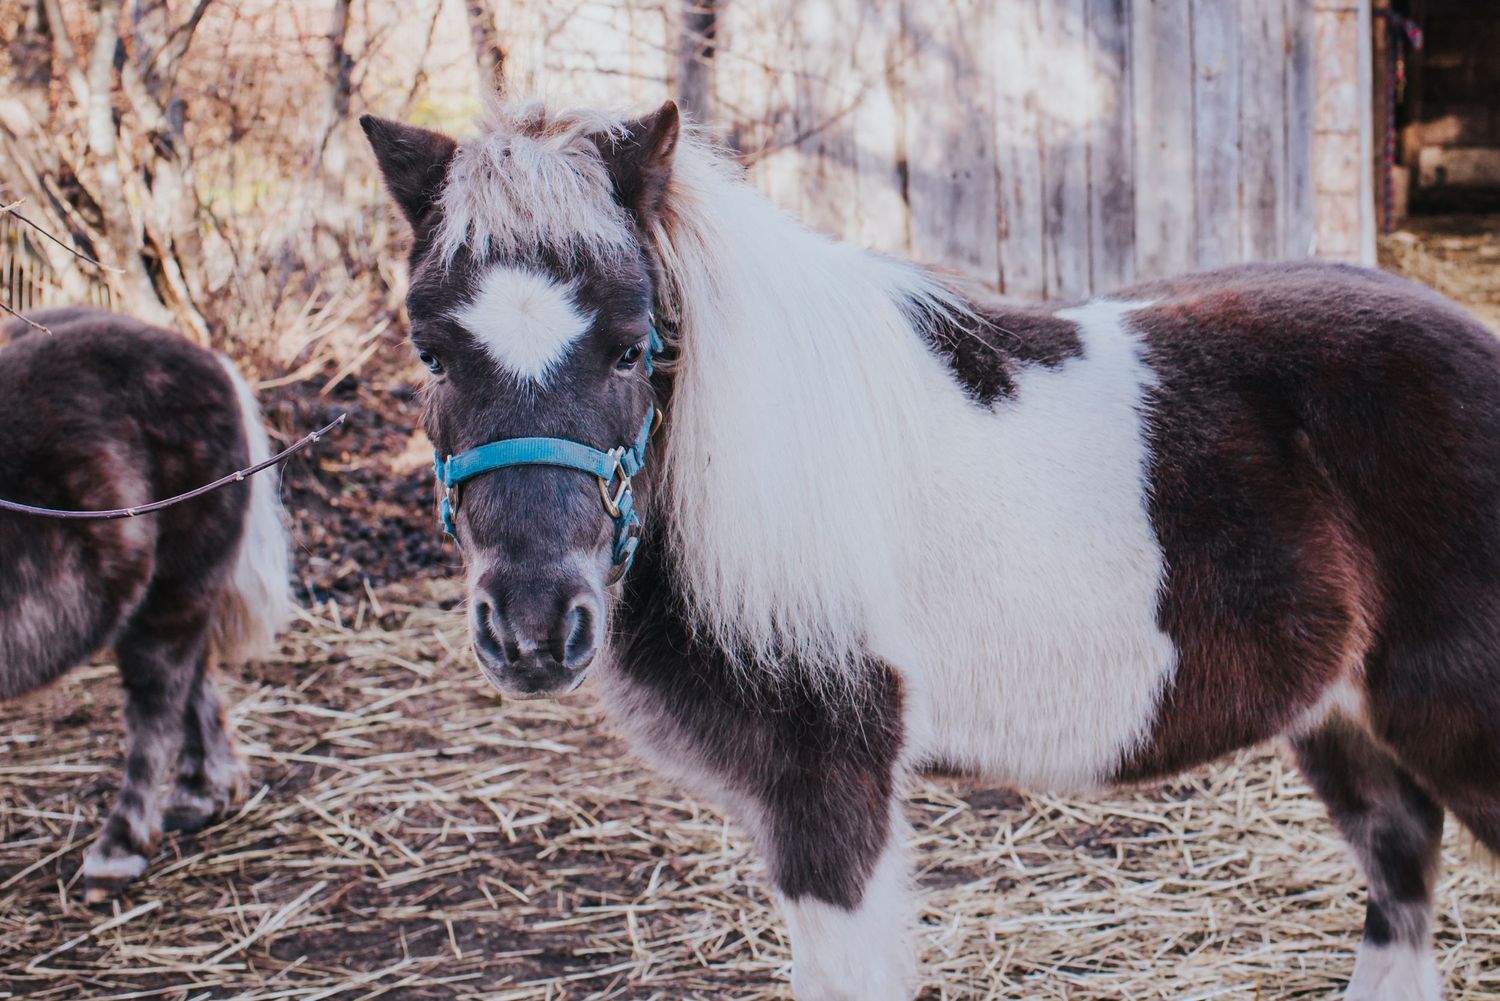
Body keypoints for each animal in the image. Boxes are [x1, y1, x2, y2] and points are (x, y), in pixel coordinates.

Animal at [0, 308, 293, 903]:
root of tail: (209, 360)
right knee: (191, 682)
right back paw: (202, 794)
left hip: (172, 594)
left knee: (158, 709)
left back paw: (119, 849)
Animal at [362, 99, 1500, 1001]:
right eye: (433, 351)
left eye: (632, 346)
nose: (532, 628)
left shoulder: (831, 799)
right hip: (1342, 717)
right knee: (1400, 870)